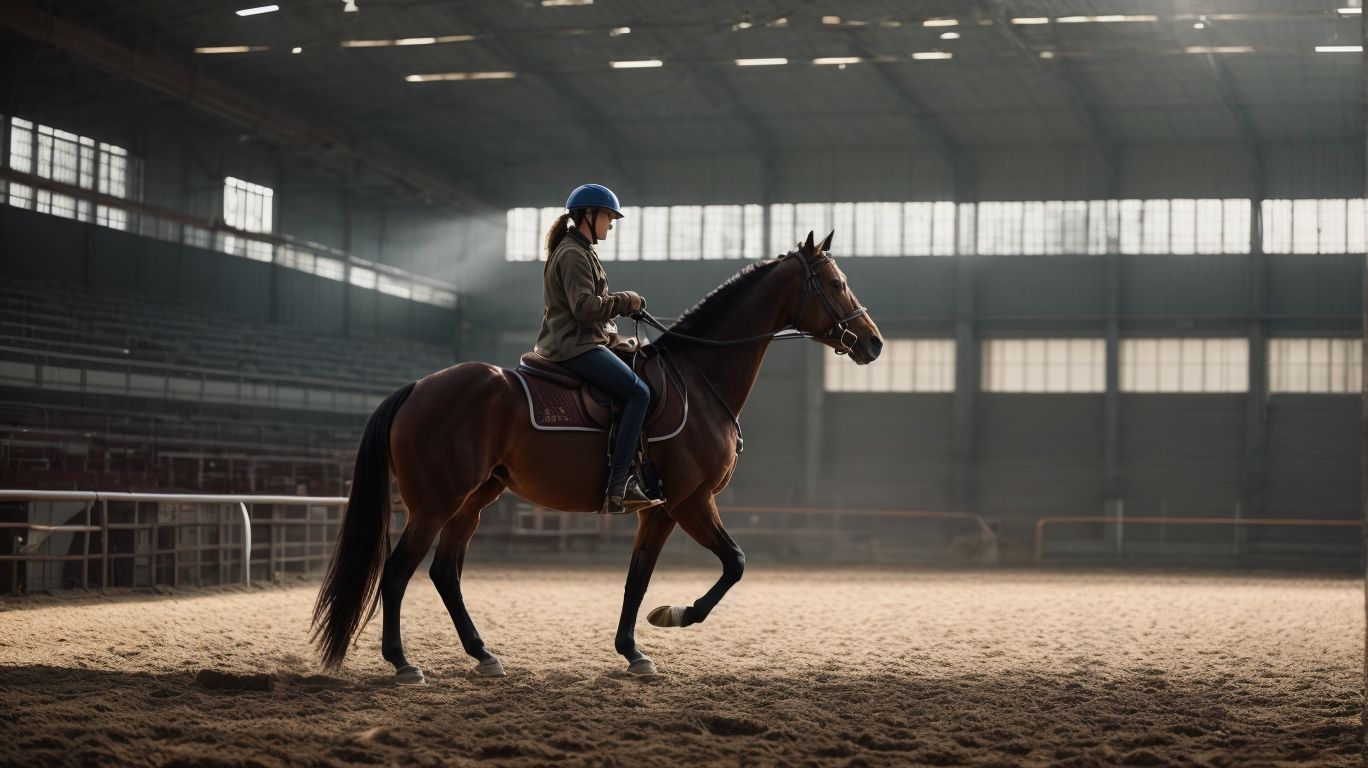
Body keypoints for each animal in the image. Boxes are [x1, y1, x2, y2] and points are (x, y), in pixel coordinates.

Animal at [311, 230, 884, 682]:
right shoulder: (690, 501)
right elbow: (735, 564)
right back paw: (403, 663)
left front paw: (633, 651)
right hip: (434, 504)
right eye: (835, 284)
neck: (699, 379)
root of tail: (417, 387)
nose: (873, 344)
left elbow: (637, 579)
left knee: (444, 573)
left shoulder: (659, 510)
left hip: (474, 499)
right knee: (397, 572)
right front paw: (675, 615)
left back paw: (483, 654)